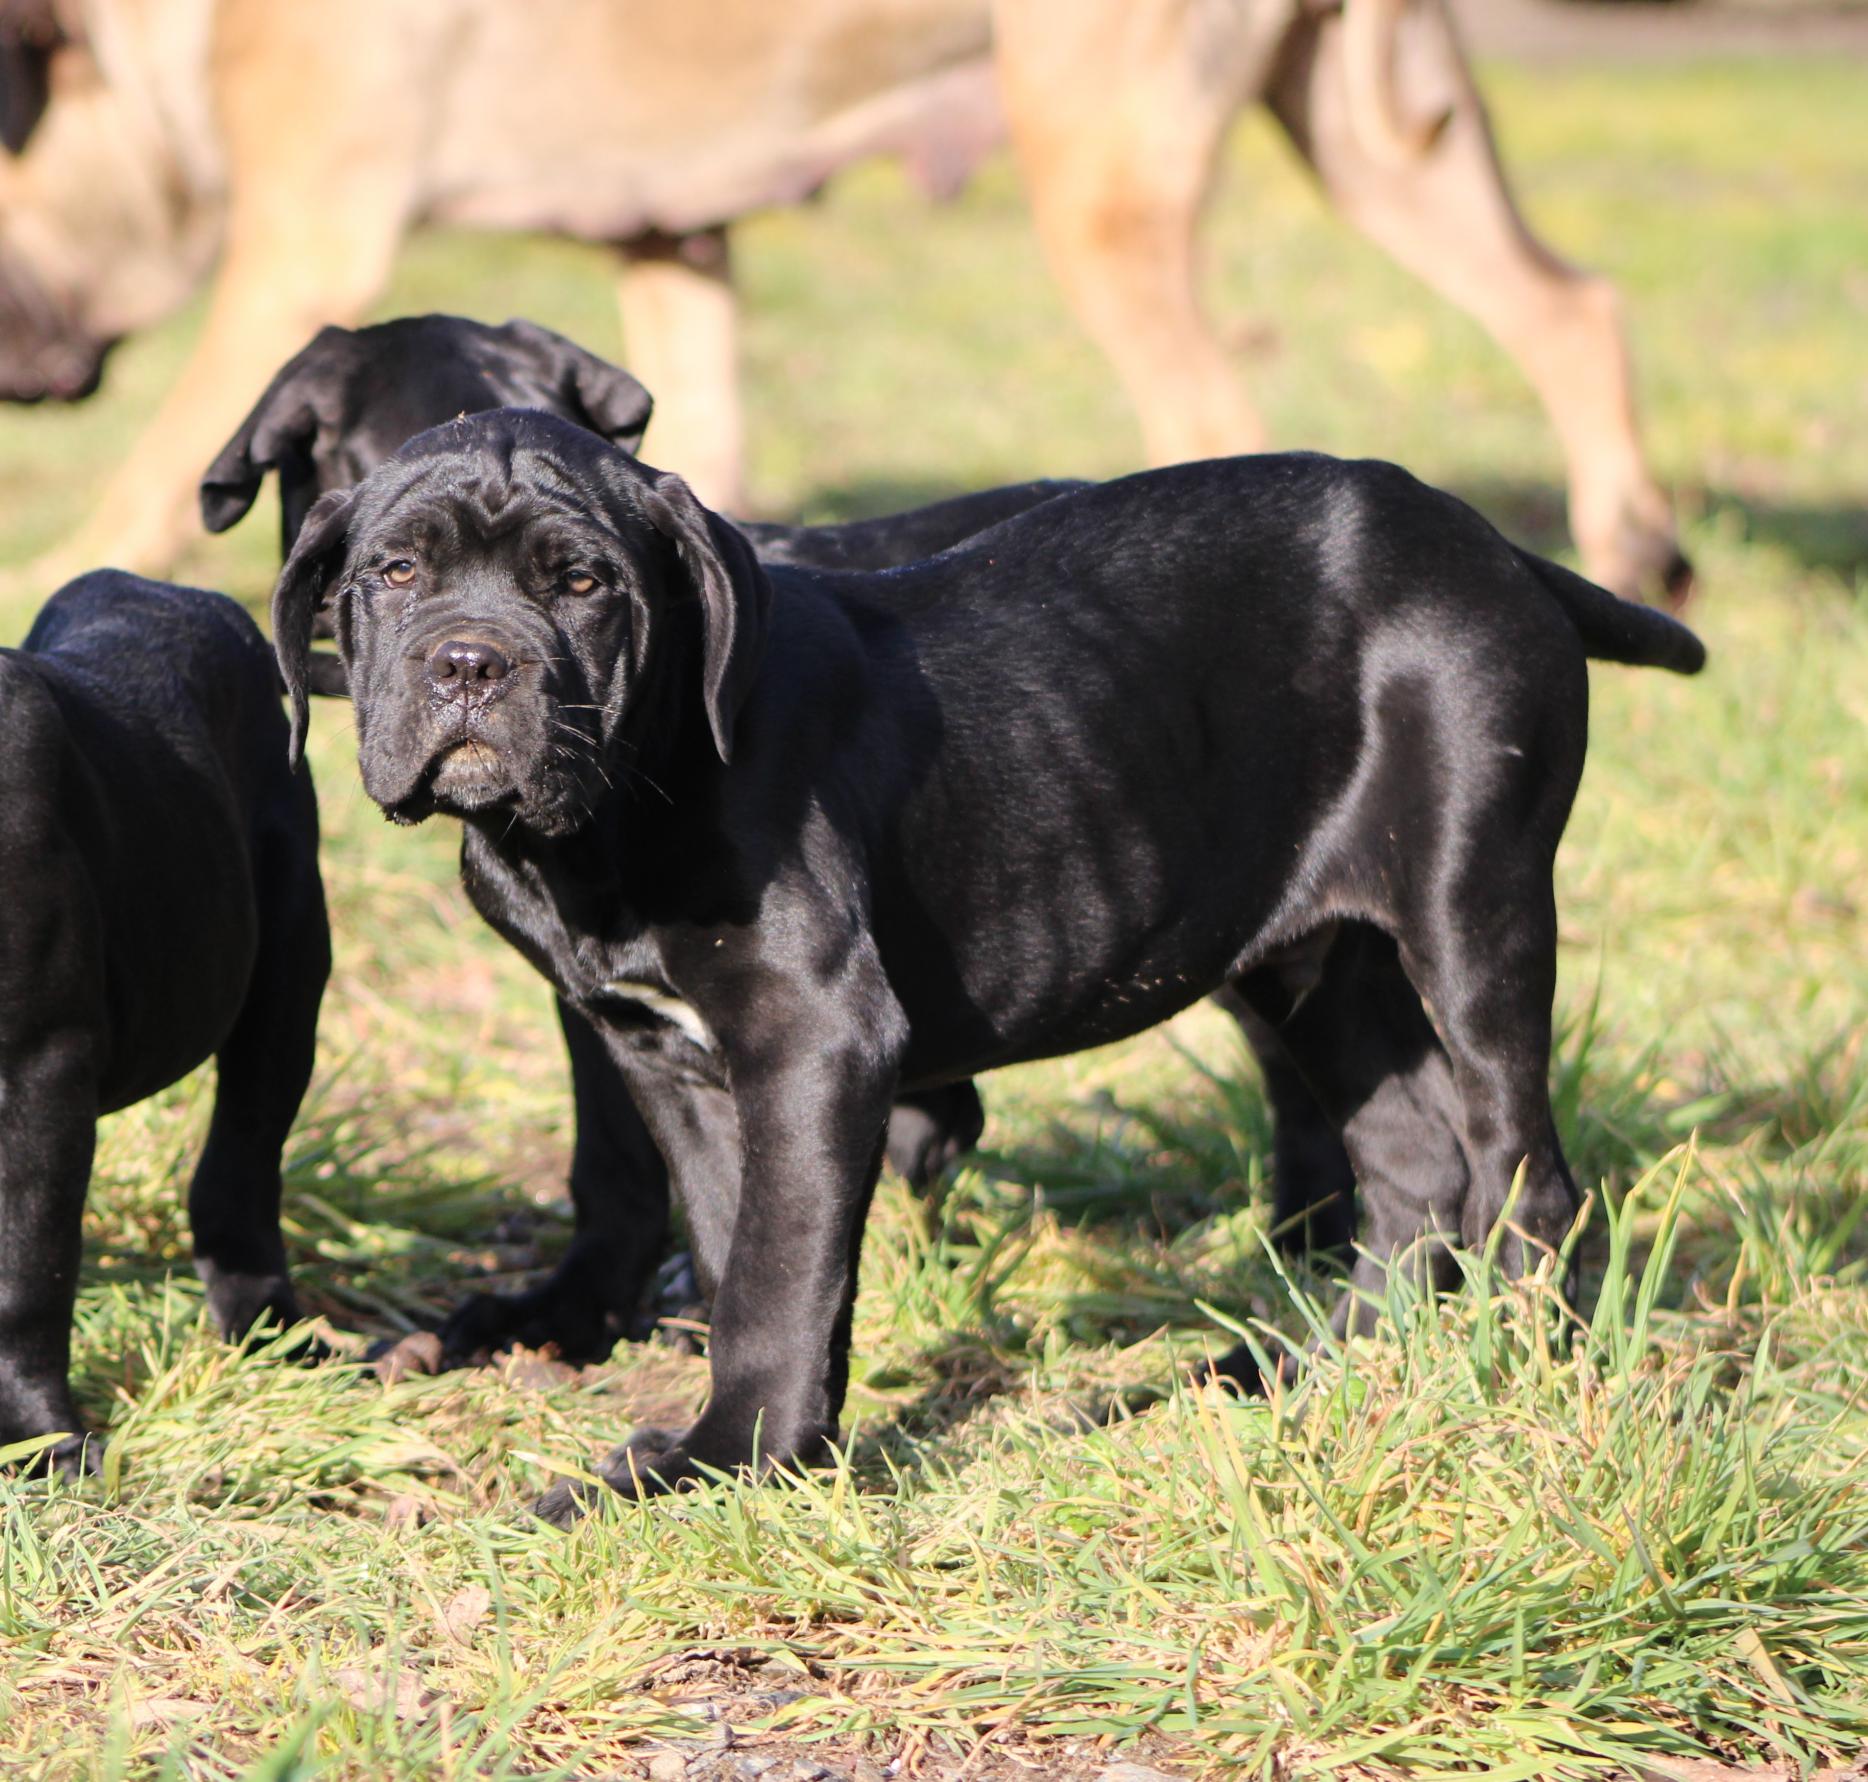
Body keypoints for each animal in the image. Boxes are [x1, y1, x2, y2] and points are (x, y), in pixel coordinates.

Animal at [0, 571, 328, 1471]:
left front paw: (39, 1440)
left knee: (240, 1166)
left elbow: (26, 1268)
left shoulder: (38, 1069)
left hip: (286, 978)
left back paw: (269, 1331)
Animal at [267, 412, 1711, 1516]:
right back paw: (1330, 1370)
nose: (472, 662)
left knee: (1523, 1169)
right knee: (1413, 1162)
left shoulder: (814, 1033)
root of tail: (1484, 539)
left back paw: (1515, 1378)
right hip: (1310, 956)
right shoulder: (666, 1058)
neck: (616, 811)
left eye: (581, 583)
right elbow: (740, 1242)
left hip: (1471, 904)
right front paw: (762, 1450)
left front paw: (727, 1463)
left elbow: (777, 1270)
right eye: (393, 573)